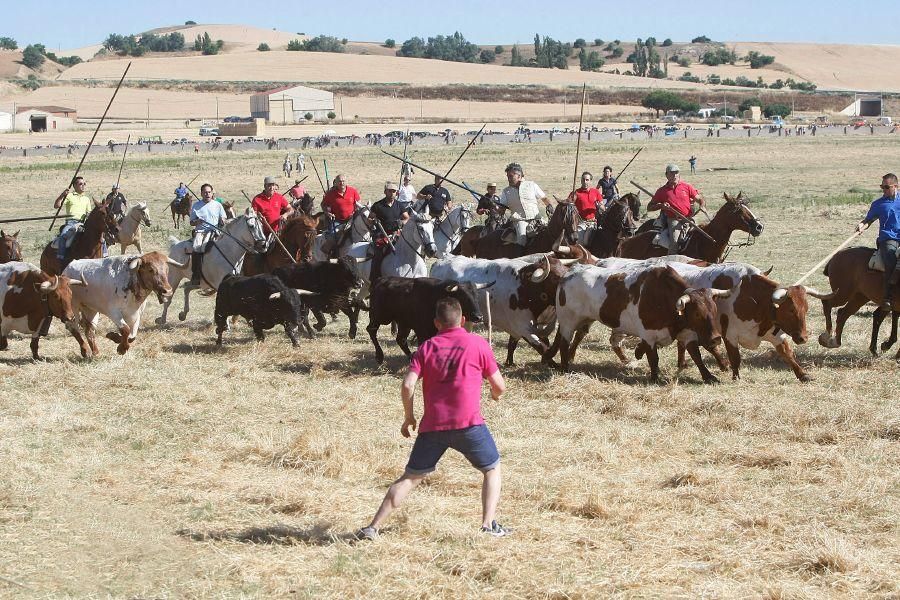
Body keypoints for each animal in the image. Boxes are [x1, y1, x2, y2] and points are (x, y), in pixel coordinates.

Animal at [548, 262, 732, 384]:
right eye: (697, 314)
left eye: (714, 311)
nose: (716, 338)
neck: (664, 298)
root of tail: (569, 273)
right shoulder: (649, 335)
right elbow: (653, 357)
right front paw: (654, 377)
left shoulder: (686, 333)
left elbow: (696, 356)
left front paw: (709, 376)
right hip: (567, 322)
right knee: (564, 343)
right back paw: (565, 367)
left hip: (584, 320)